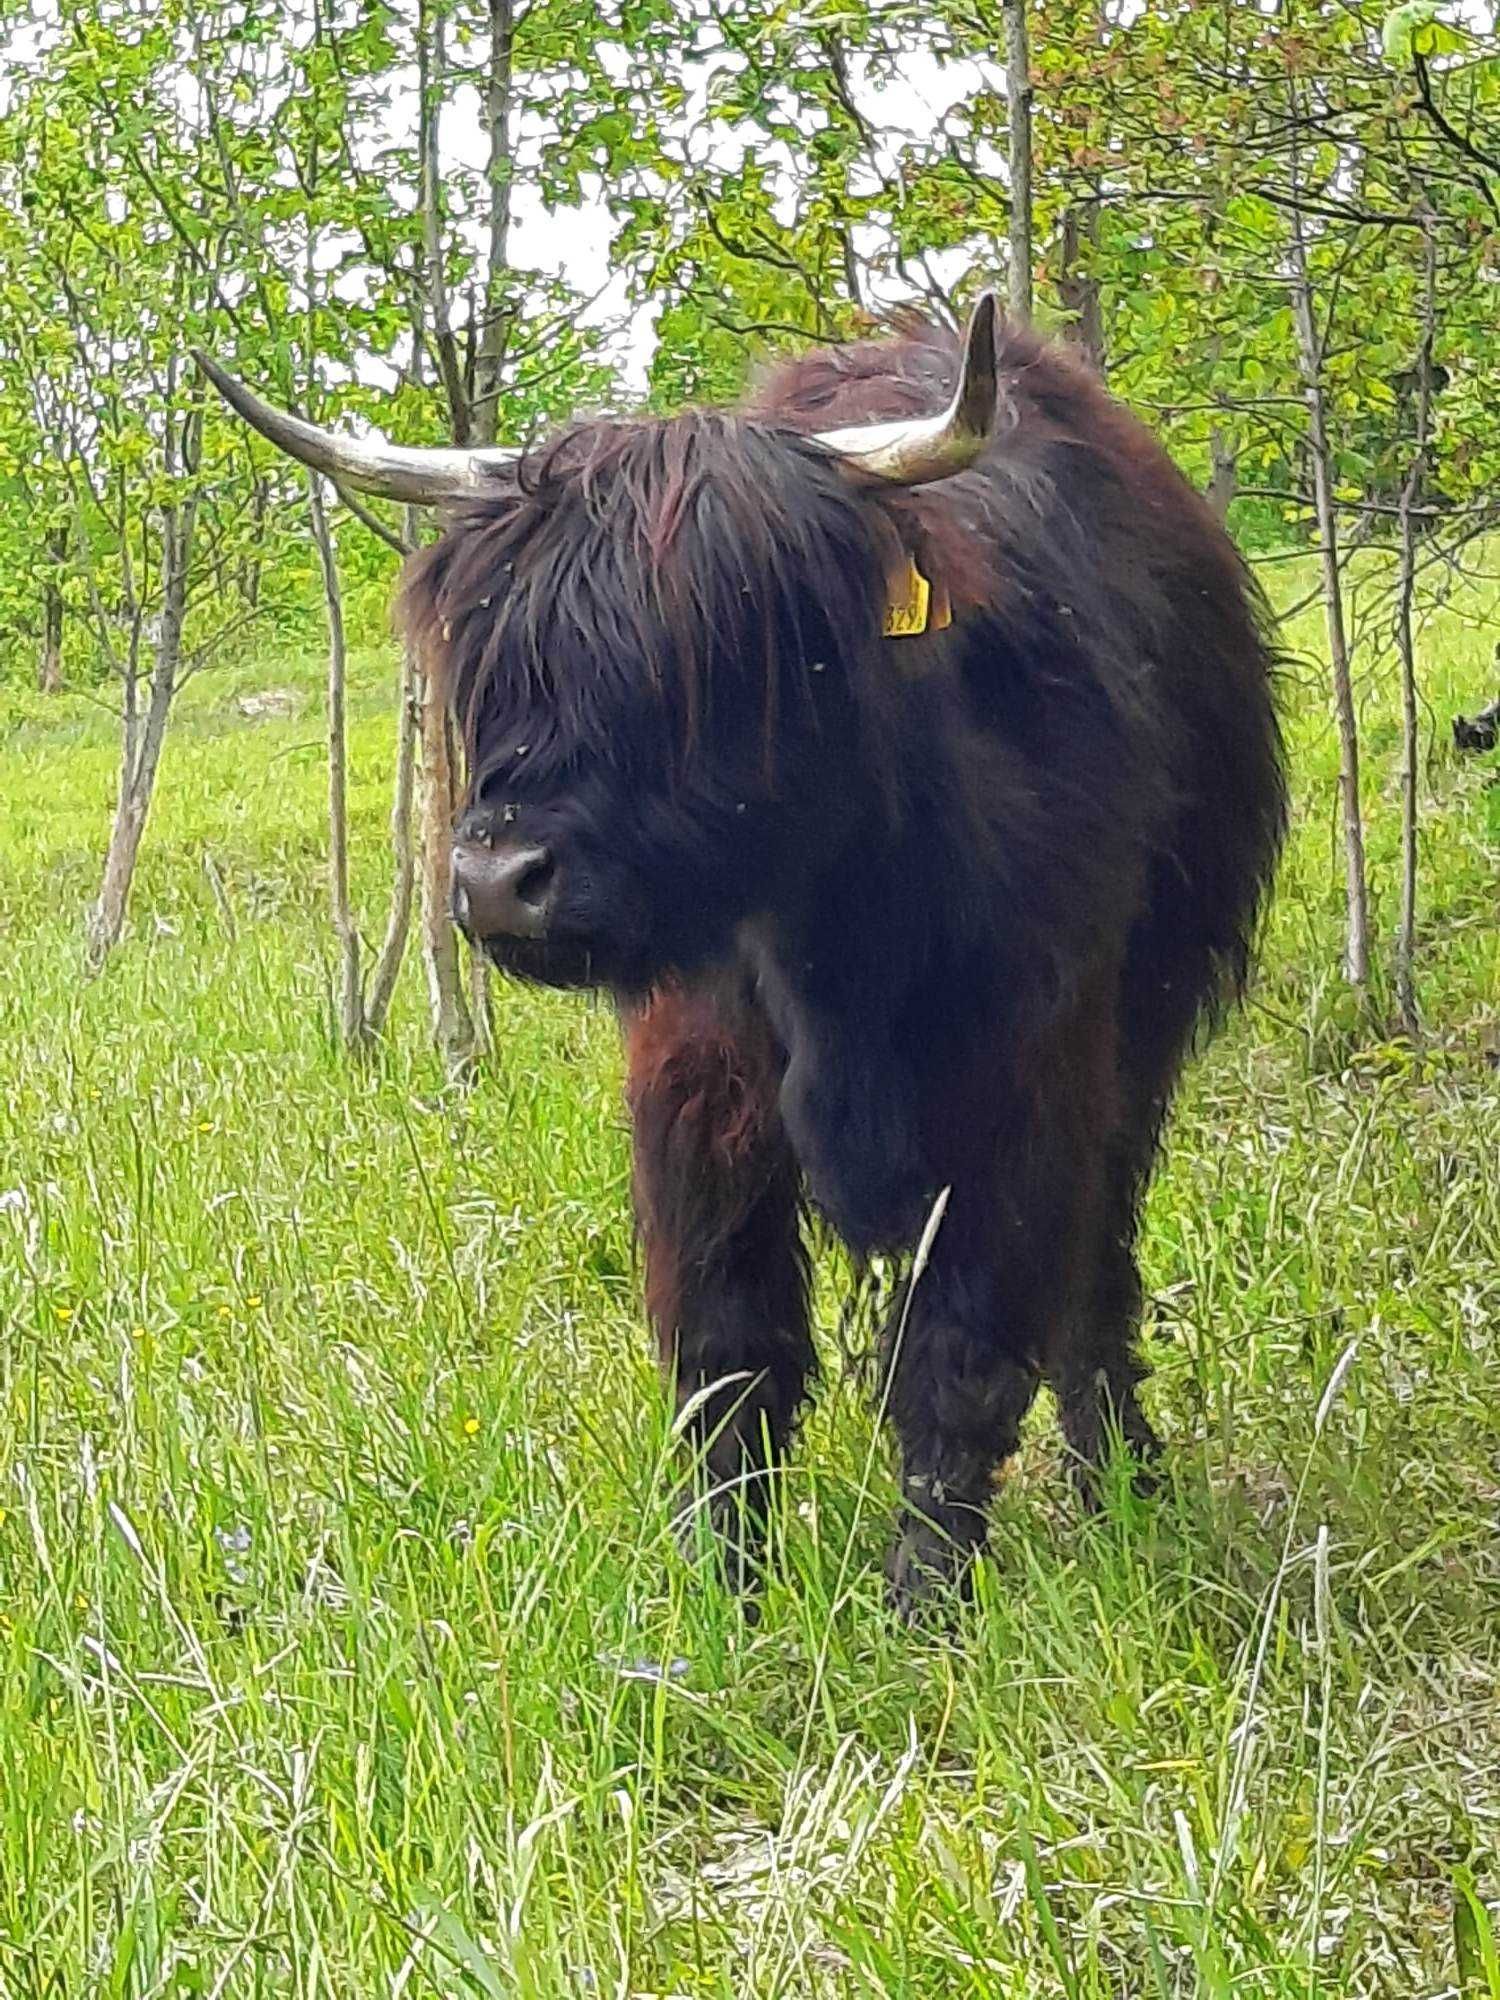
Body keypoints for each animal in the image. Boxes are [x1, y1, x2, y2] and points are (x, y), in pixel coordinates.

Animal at [203, 296, 1296, 1608]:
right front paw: (727, 1591)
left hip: (1139, 1039)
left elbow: (966, 1347)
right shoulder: (700, 1077)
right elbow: (729, 1350)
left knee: (1098, 1272)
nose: (497, 882)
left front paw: (924, 1600)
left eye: (706, 656)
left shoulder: (1032, 1076)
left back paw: (1122, 1482)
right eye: (498, 660)